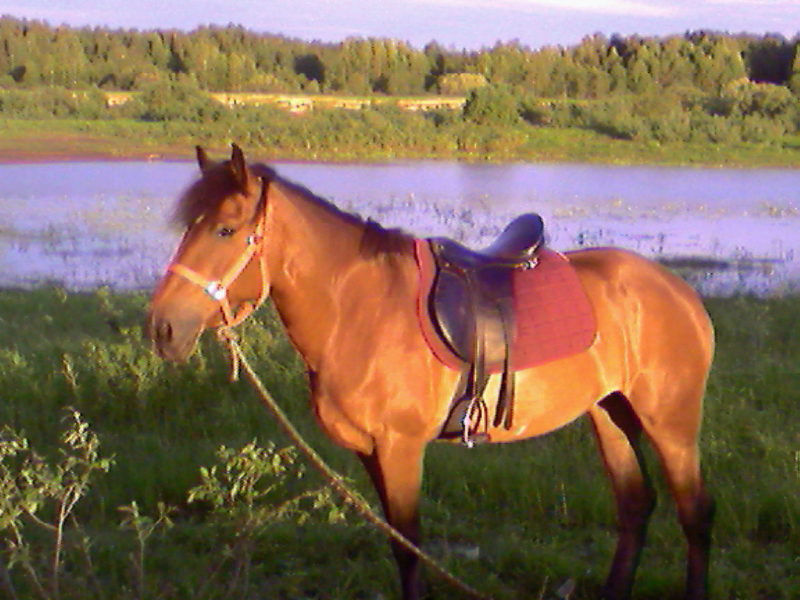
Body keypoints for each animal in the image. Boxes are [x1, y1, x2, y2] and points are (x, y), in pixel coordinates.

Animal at [147, 145, 716, 600]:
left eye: (225, 230)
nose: (163, 327)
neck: (359, 307)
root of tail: (680, 292)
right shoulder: (369, 451)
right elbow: (397, 542)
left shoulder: (399, 448)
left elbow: (410, 547)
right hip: (609, 413)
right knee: (635, 507)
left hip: (670, 422)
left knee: (695, 514)